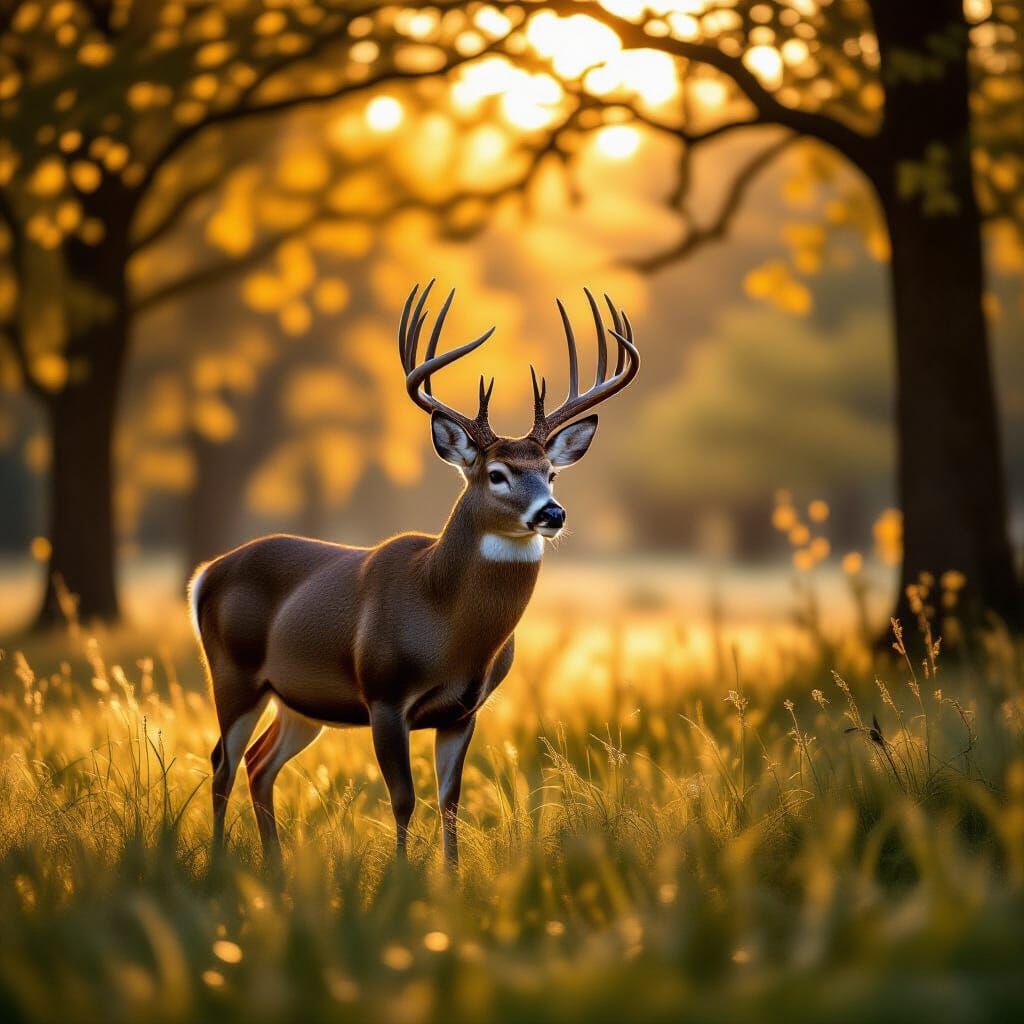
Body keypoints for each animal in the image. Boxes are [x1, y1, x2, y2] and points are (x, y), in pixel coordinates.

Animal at [189, 280, 639, 867]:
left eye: (551, 473)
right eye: (497, 474)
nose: (552, 513)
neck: (445, 623)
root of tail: (205, 574)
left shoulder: (463, 710)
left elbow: (450, 800)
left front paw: (450, 877)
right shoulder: (384, 694)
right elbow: (402, 798)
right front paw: (402, 879)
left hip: (300, 700)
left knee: (259, 763)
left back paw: (275, 866)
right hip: (233, 672)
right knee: (221, 760)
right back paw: (222, 862)